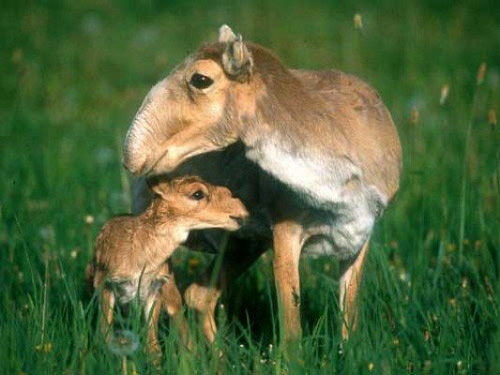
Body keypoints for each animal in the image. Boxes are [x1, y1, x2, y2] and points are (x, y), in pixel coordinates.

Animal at [124, 25, 402, 346]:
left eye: (200, 79)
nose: (133, 154)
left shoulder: (359, 238)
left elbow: (349, 321)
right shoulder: (286, 234)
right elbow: (291, 330)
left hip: (245, 244)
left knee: (198, 295)